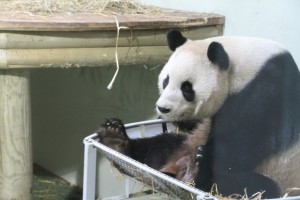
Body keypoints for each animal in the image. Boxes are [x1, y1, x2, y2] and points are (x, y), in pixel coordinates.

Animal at [98, 29, 300, 198]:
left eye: (187, 87)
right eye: (166, 80)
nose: (163, 108)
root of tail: (176, 166)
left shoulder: (270, 91)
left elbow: (247, 139)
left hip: (280, 177)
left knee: (252, 185)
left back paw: (199, 171)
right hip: (184, 144)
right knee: (161, 145)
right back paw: (116, 139)